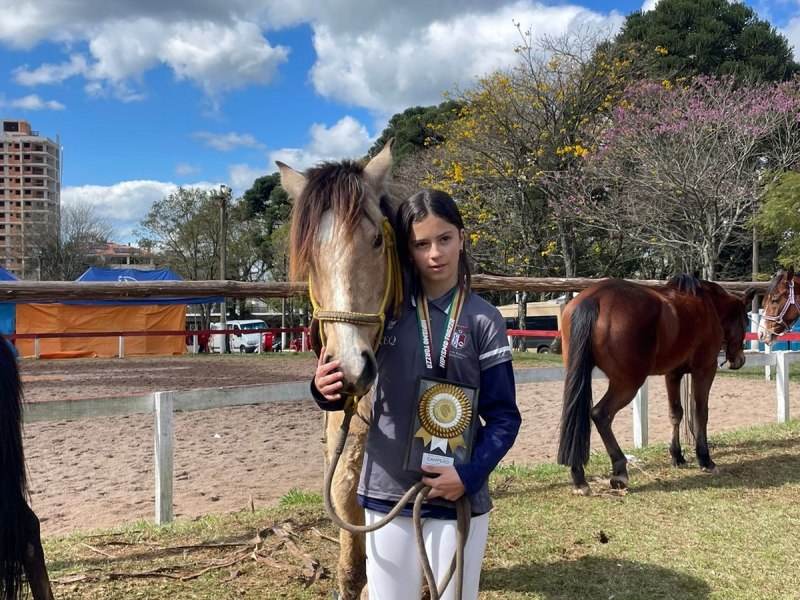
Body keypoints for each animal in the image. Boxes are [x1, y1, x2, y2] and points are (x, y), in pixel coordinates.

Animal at [278, 142, 400, 600]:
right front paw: (351, 579)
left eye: (377, 240)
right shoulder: (341, 426)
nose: (348, 368)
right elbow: (344, 492)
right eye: (310, 256)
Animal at [556, 274, 756, 494]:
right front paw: (705, 459)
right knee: (600, 414)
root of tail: (595, 298)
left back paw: (579, 477)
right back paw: (619, 470)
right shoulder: (704, 370)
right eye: (745, 320)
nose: (739, 360)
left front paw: (677, 456)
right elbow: (700, 413)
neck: (706, 304)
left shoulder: (673, 374)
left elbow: (676, 413)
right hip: (627, 384)